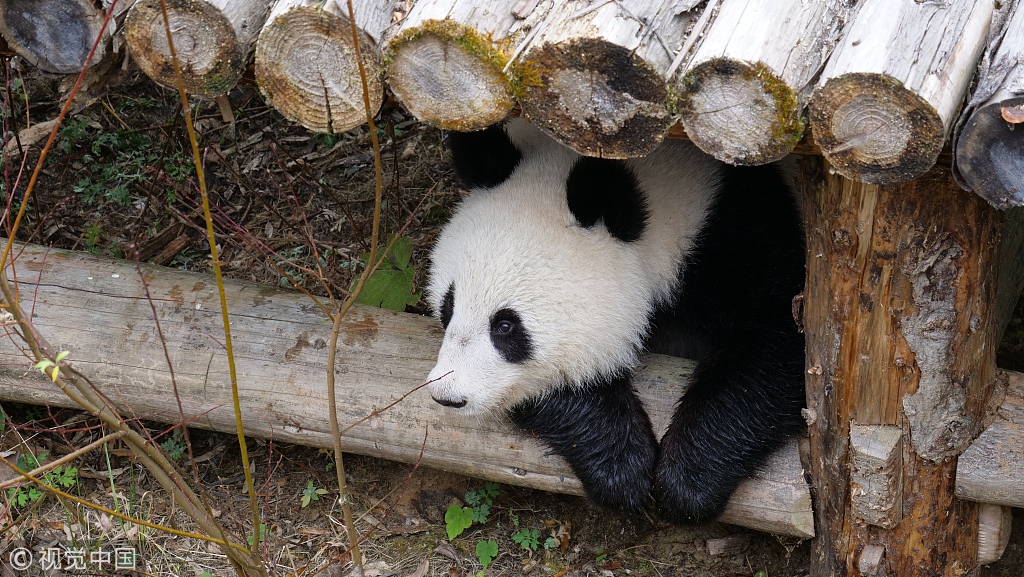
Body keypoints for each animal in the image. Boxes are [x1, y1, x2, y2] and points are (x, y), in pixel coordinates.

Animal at [419, 119, 802, 524]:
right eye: (448, 306)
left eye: (506, 327)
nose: (448, 395)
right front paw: (621, 468)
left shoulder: (738, 233)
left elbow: (778, 345)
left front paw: (687, 483)